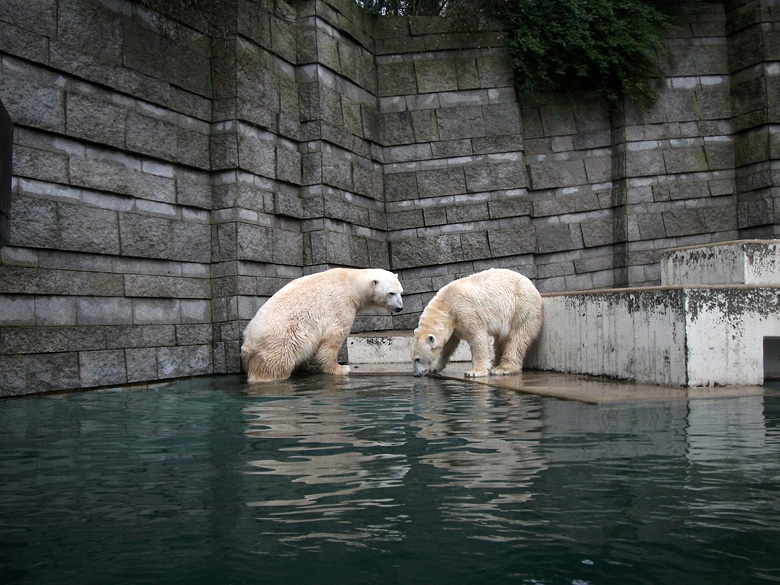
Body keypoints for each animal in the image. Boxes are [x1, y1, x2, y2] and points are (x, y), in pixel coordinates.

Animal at [242, 266, 402, 380]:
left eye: (401, 291)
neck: (351, 283)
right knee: (276, 364)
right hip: (282, 338)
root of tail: (249, 339)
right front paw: (341, 369)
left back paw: (308, 367)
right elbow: (332, 339)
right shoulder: (341, 305)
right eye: (391, 293)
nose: (400, 308)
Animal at [414, 268, 544, 378]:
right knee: (500, 340)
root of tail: (534, 288)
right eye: (413, 358)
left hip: (521, 308)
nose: (416, 374)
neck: (446, 305)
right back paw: (495, 363)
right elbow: (449, 344)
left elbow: (477, 337)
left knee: (516, 338)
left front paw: (474, 372)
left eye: (418, 359)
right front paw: (435, 367)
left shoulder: (464, 311)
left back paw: (502, 368)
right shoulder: (453, 324)